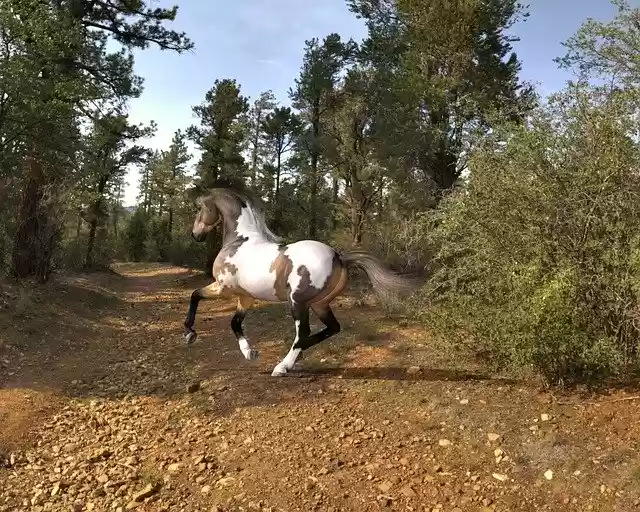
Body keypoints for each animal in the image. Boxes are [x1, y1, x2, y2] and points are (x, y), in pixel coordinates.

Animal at [184, 183, 417, 377]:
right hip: (319, 304)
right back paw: (297, 356)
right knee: (331, 329)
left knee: (303, 333)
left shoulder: (223, 288)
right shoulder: (245, 297)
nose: (195, 235)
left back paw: (283, 366)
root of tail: (339, 257)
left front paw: (189, 334)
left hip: (298, 302)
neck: (239, 241)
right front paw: (250, 353)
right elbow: (235, 323)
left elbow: (195, 295)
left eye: (199, 208)